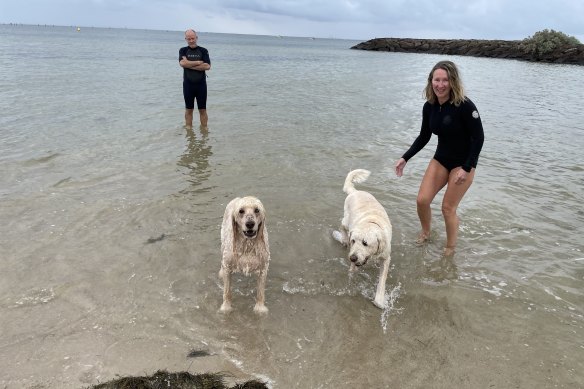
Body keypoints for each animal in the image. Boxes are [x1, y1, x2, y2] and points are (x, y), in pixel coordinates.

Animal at [334, 168, 392, 308]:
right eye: (353, 241)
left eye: (365, 243)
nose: (352, 258)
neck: (371, 222)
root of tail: (355, 192)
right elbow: (352, 271)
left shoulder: (386, 258)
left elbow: (382, 280)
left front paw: (379, 300)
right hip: (346, 220)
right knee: (342, 226)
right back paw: (344, 239)